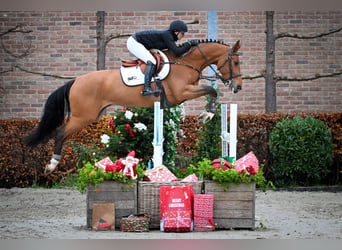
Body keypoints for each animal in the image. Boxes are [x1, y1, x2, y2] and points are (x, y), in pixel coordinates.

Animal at [23, 40, 243, 175]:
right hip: (83, 116)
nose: (238, 87)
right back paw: (51, 165)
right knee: (60, 132)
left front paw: (207, 114)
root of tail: (75, 81)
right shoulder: (182, 93)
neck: (185, 63)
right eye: (236, 62)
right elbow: (210, 90)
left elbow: (210, 91)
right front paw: (207, 115)